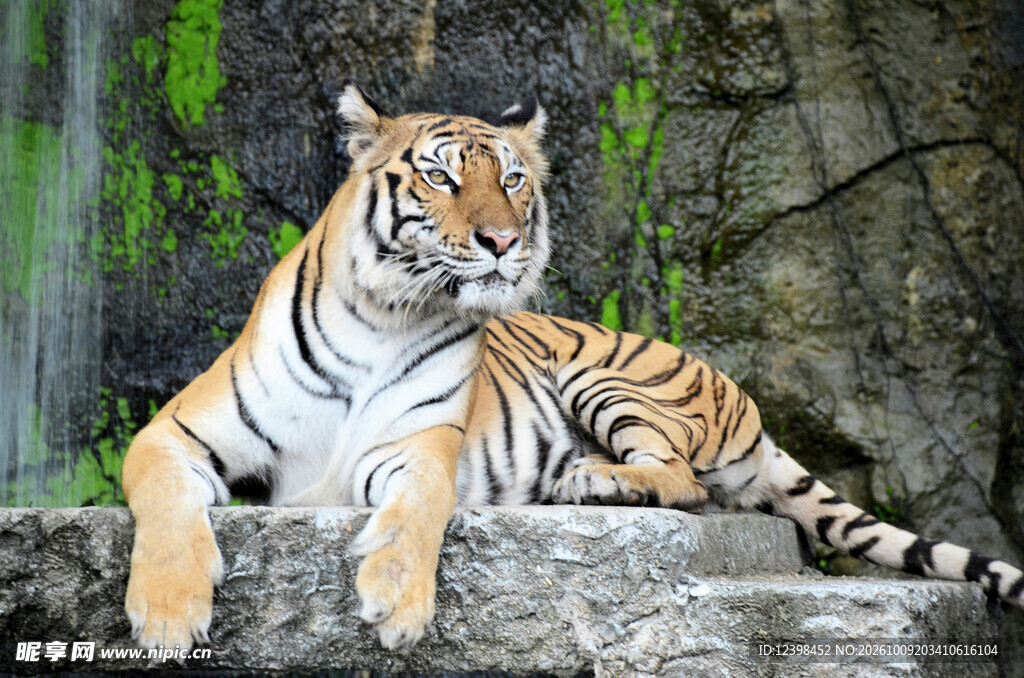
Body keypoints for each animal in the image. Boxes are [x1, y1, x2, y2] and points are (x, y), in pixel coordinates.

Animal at [122, 82, 1024, 655]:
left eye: (513, 178)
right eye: (441, 175)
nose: (501, 240)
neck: (388, 312)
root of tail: (753, 408)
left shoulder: (416, 449)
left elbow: (419, 514)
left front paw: (397, 608)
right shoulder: (172, 433)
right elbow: (166, 506)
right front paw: (166, 619)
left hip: (610, 379)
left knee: (682, 481)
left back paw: (589, 480)